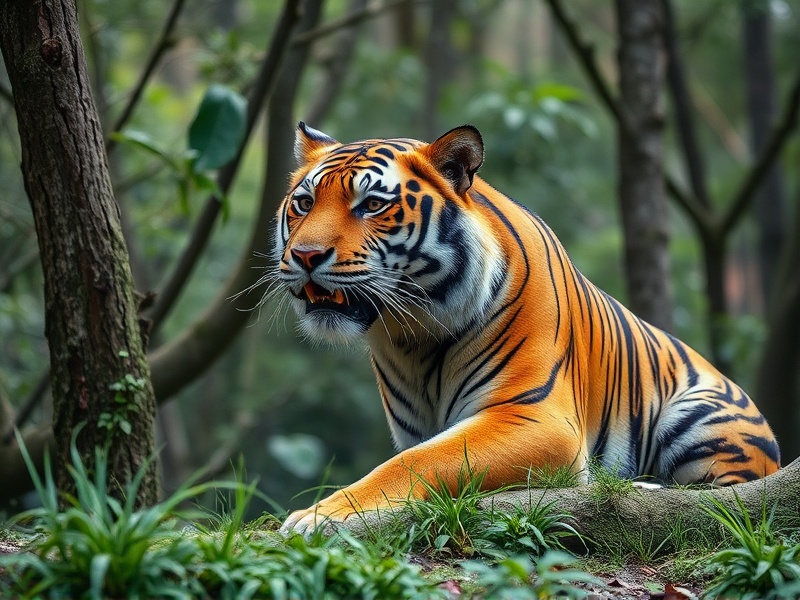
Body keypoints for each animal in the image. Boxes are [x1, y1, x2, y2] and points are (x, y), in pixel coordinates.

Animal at [273, 122, 780, 534]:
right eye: (304, 203)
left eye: (373, 205)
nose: (305, 255)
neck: (410, 334)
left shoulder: (534, 416)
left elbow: (419, 461)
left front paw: (320, 516)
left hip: (698, 411)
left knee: (722, 493)